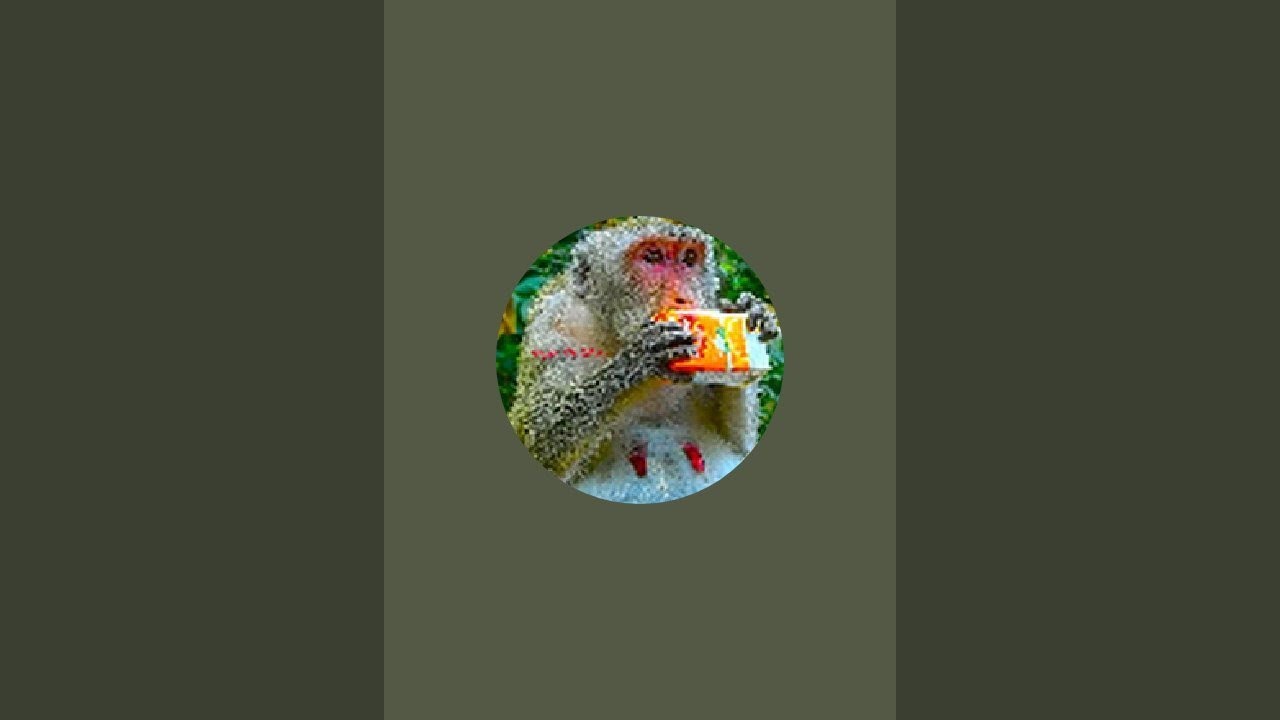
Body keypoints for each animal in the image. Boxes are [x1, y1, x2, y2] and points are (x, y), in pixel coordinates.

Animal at [507, 216, 780, 504]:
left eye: (689, 258)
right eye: (652, 256)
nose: (683, 299)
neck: (615, 328)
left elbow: (739, 444)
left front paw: (752, 313)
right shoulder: (553, 322)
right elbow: (536, 434)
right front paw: (642, 358)